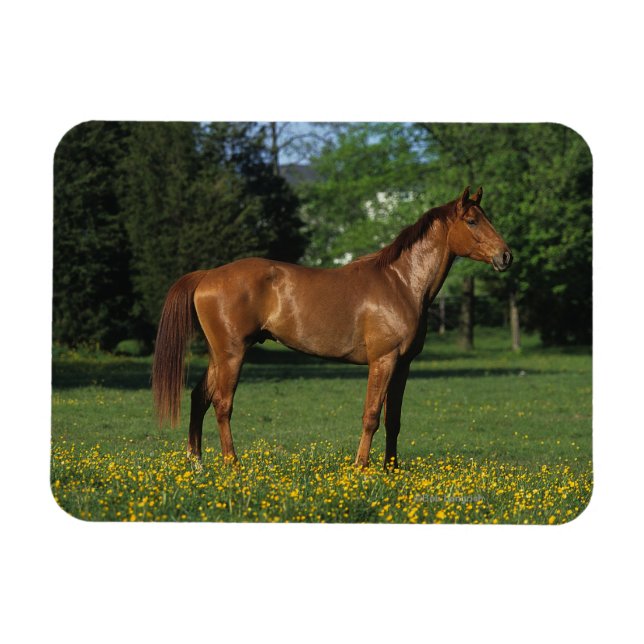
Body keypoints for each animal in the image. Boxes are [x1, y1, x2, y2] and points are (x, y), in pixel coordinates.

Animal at [152, 186, 512, 469]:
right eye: (472, 221)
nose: (506, 256)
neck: (400, 283)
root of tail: (207, 276)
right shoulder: (383, 361)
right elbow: (372, 416)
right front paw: (361, 467)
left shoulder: (403, 365)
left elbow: (393, 421)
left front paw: (391, 470)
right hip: (232, 354)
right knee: (222, 405)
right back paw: (233, 465)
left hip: (219, 355)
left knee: (199, 398)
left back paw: (197, 464)